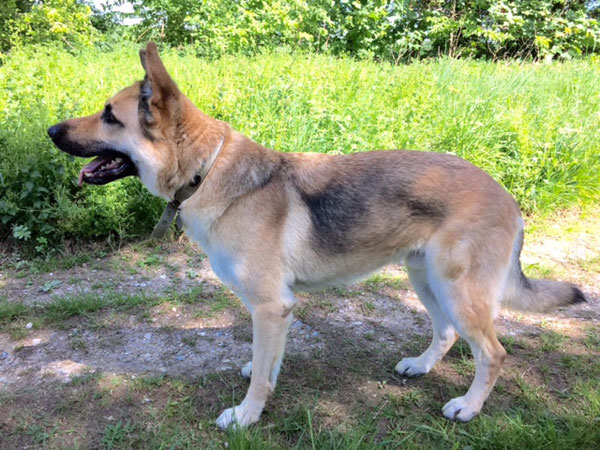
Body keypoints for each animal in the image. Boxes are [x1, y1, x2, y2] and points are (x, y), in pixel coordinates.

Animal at [48, 43, 584, 428]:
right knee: (448, 332)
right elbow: (269, 361)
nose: (51, 131)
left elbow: (262, 374)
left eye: (109, 115)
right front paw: (261, 381)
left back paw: (468, 407)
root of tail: (506, 196)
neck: (208, 170)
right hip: (425, 280)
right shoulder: (279, 309)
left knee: (492, 353)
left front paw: (246, 416)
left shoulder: (270, 306)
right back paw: (422, 365)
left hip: (456, 288)